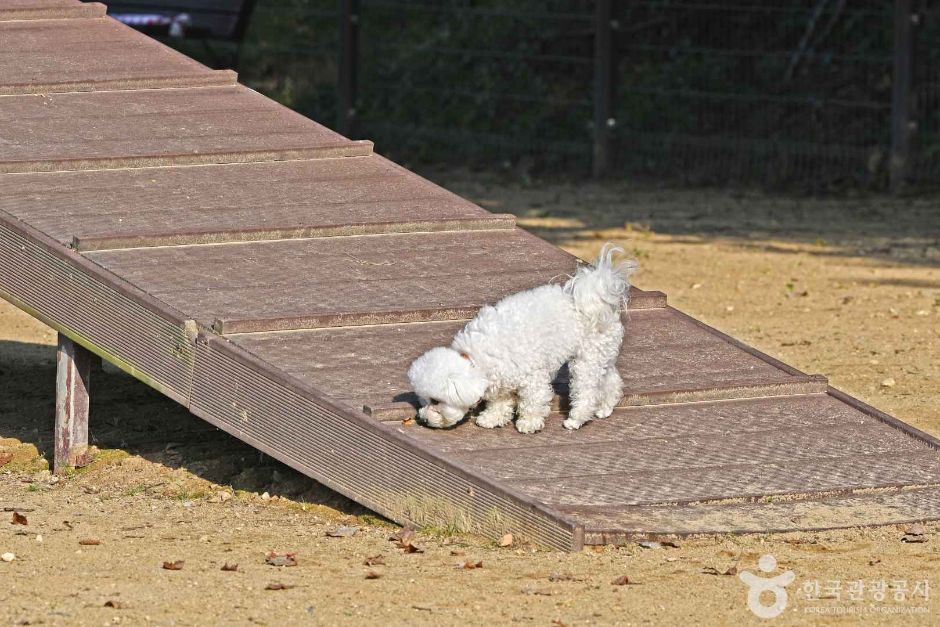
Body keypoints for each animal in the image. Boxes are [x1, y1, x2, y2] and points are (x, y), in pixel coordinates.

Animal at [406, 244, 636, 432]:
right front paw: (492, 418)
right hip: (602, 355)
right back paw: (605, 408)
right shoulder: (500, 382)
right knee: (610, 380)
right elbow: (500, 403)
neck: (474, 361)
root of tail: (597, 294)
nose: (423, 420)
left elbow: (532, 401)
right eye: (424, 400)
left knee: (586, 392)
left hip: (585, 360)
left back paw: (576, 420)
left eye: (436, 401)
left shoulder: (533, 377)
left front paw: (529, 423)